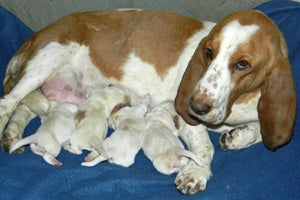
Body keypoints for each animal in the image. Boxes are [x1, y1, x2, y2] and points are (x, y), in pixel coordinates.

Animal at [0, 9, 296, 194]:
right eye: (208, 52)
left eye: (243, 64)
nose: (195, 106)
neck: (239, 101)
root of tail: (37, 34)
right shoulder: (187, 120)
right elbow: (205, 148)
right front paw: (196, 173)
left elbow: (262, 130)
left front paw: (237, 137)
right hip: (48, 60)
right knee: (8, 103)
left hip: (52, 90)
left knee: (23, 107)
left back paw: (13, 136)